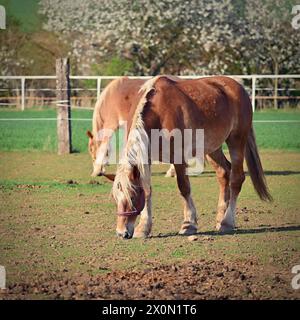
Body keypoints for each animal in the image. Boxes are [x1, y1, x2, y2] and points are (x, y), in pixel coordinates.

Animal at [101, 76, 272, 239]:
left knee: (236, 179)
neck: (159, 113)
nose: (121, 233)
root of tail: (238, 87)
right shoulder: (145, 159)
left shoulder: (179, 158)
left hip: (236, 140)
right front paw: (143, 228)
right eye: (116, 199)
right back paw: (219, 219)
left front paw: (189, 224)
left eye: (132, 196)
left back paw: (227, 222)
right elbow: (148, 190)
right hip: (212, 148)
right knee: (224, 174)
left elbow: (184, 188)